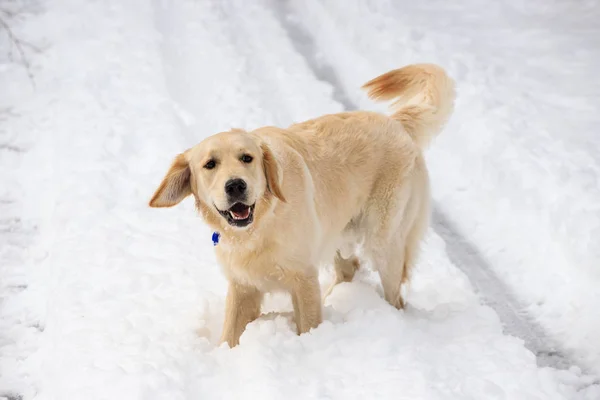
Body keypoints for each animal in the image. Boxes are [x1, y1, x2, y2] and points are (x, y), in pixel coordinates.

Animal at [150, 63, 454, 346]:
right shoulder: (243, 286)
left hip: (384, 241)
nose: (235, 185)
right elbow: (229, 336)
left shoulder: (303, 278)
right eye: (210, 164)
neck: (260, 227)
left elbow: (307, 325)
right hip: (339, 232)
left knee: (395, 295)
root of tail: (396, 123)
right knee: (350, 269)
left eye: (247, 158)